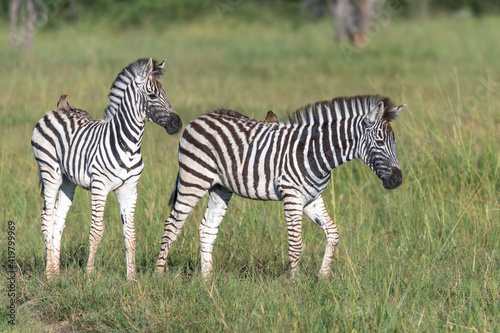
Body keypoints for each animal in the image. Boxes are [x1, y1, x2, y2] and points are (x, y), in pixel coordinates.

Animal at [30, 57, 182, 280]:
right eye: (152, 95)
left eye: (166, 94)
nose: (177, 123)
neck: (128, 144)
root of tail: (60, 108)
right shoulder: (99, 186)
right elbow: (96, 231)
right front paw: (89, 276)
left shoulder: (129, 189)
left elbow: (130, 233)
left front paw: (131, 278)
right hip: (49, 171)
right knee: (46, 218)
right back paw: (49, 274)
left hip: (68, 181)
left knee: (58, 219)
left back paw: (56, 272)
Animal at [158, 94, 404, 278]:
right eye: (380, 142)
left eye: (394, 143)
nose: (398, 180)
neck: (317, 153)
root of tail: (199, 118)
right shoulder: (292, 196)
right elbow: (296, 245)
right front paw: (295, 288)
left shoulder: (312, 199)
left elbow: (333, 232)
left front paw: (322, 277)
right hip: (193, 179)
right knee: (172, 225)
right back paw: (159, 276)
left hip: (220, 188)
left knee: (207, 229)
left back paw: (207, 281)